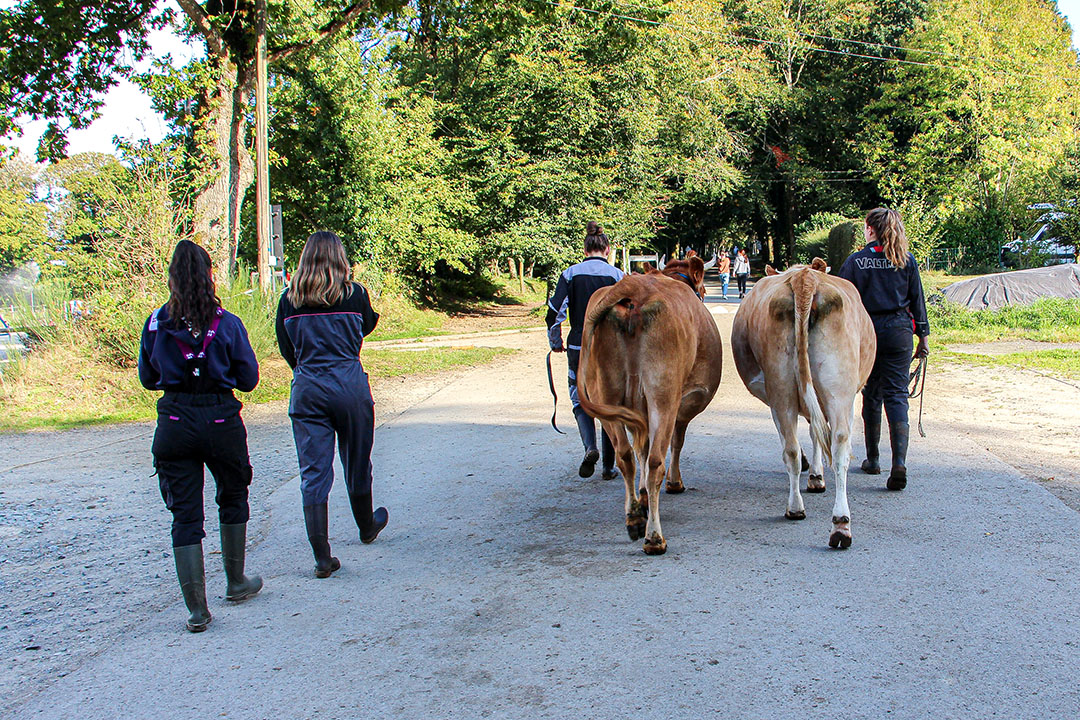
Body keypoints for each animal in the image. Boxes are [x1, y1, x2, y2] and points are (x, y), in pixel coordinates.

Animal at [578, 255, 721, 557]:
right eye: (702, 290)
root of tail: (634, 287)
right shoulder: (683, 404)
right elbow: (675, 443)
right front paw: (674, 484)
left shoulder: (636, 414)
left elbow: (640, 450)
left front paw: (642, 499)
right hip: (663, 395)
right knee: (656, 461)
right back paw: (654, 537)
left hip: (604, 396)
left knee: (625, 455)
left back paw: (634, 518)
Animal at [734, 259, 876, 546]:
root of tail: (803, 278)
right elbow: (815, 434)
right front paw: (816, 476)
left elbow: (812, 433)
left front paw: (815, 474)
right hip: (831, 391)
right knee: (836, 444)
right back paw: (826, 518)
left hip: (791, 389)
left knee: (804, 445)